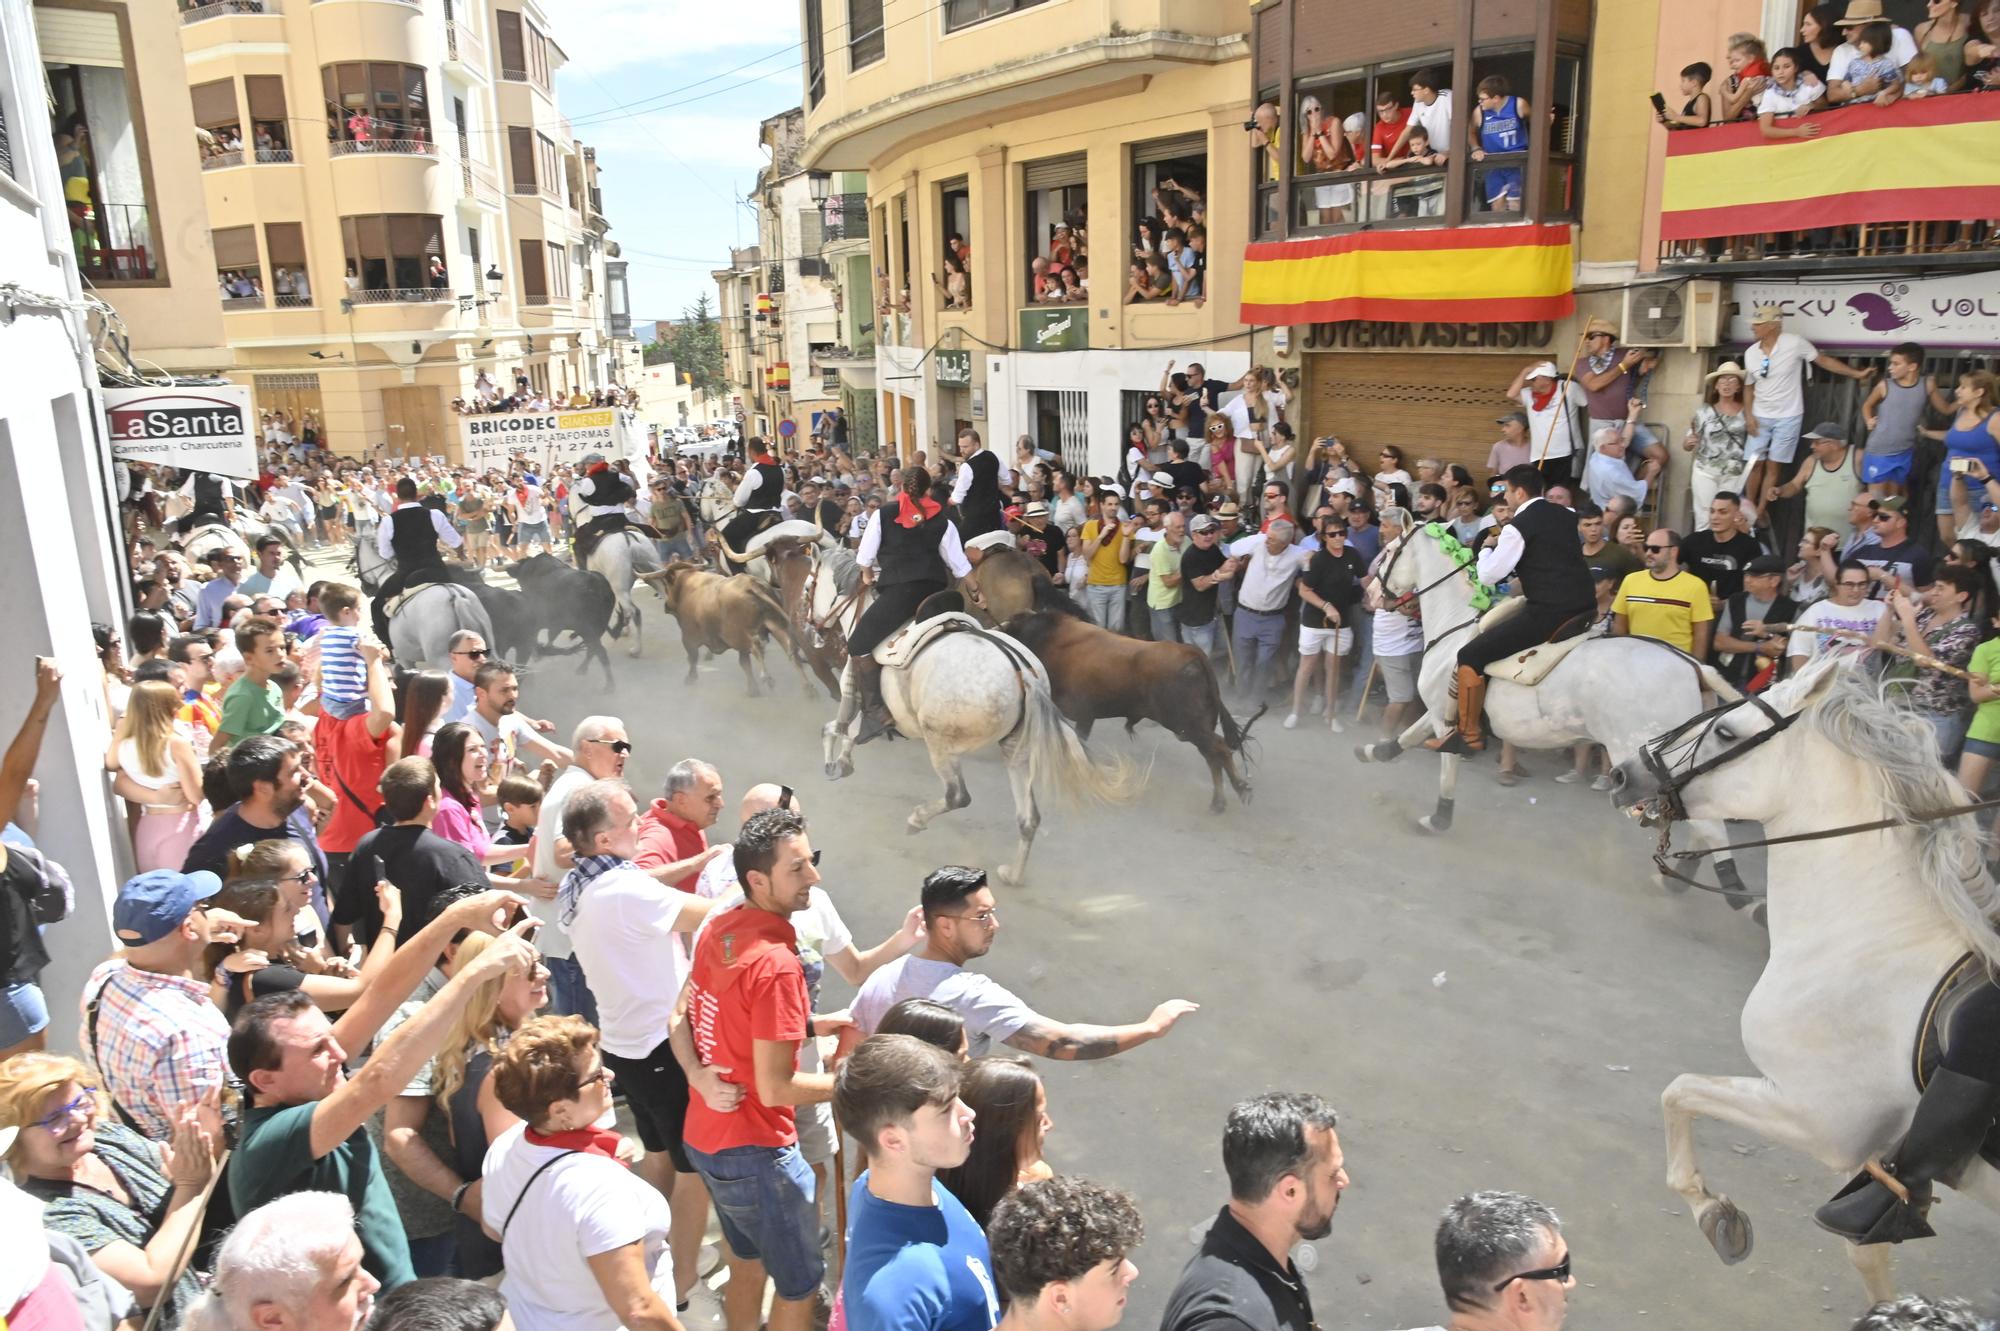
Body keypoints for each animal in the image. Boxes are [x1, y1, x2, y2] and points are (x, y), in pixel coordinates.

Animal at [648, 555, 820, 695]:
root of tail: (752, 585)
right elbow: (744, 664)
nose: (666, 606)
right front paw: (752, 689)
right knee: (791, 651)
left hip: (742, 633)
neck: (686, 585)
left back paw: (767, 677)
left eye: (665, 584)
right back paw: (808, 688)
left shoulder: (688, 638)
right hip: (774, 624)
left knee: (757, 646)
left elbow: (692, 658)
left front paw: (690, 678)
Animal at [828, 619, 1144, 879]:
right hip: (1017, 750)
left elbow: (849, 728)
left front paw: (838, 762)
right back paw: (1013, 875)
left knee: (957, 796)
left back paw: (916, 820)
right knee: (1028, 818)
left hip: (941, 744)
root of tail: (1025, 676)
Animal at [1000, 599, 1264, 807]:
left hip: (1188, 725)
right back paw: (1219, 801)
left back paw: (1240, 789)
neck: (1049, 641)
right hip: (1196, 726)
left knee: (1218, 749)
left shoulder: (1081, 715)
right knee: (1212, 755)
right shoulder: (1080, 716)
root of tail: (1193, 653)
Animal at [1352, 519, 1760, 891]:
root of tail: (1692, 664)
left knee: (1709, 824)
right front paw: (1370, 751)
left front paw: (1438, 819)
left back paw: (1730, 888)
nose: (1370, 594)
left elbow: (1446, 766)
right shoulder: (1440, 712)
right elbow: (1404, 738)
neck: (1456, 625)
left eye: (1390, 550)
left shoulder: (1443, 717)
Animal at [1608, 659, 2000, 1303]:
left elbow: (1679, 1090)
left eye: (1726, 732)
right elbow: (1866, 1252)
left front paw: (1712, 1212)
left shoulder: (1818, 1119)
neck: (1877, 938)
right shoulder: (1871, 1154)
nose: (1621, 775)